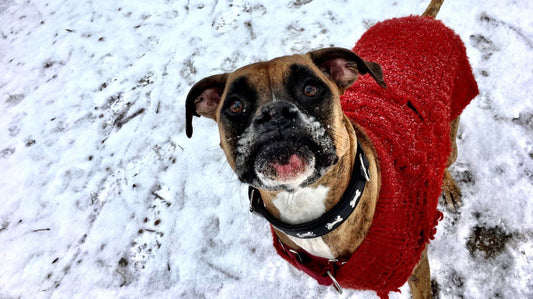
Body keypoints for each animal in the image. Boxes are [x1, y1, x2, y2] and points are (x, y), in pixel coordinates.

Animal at [184, 1, 478, 298]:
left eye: (310, 89)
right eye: (235, 106)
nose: (274, 113)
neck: (305, 203)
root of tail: (420, 19)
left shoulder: (415, 268)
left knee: (444, 158)